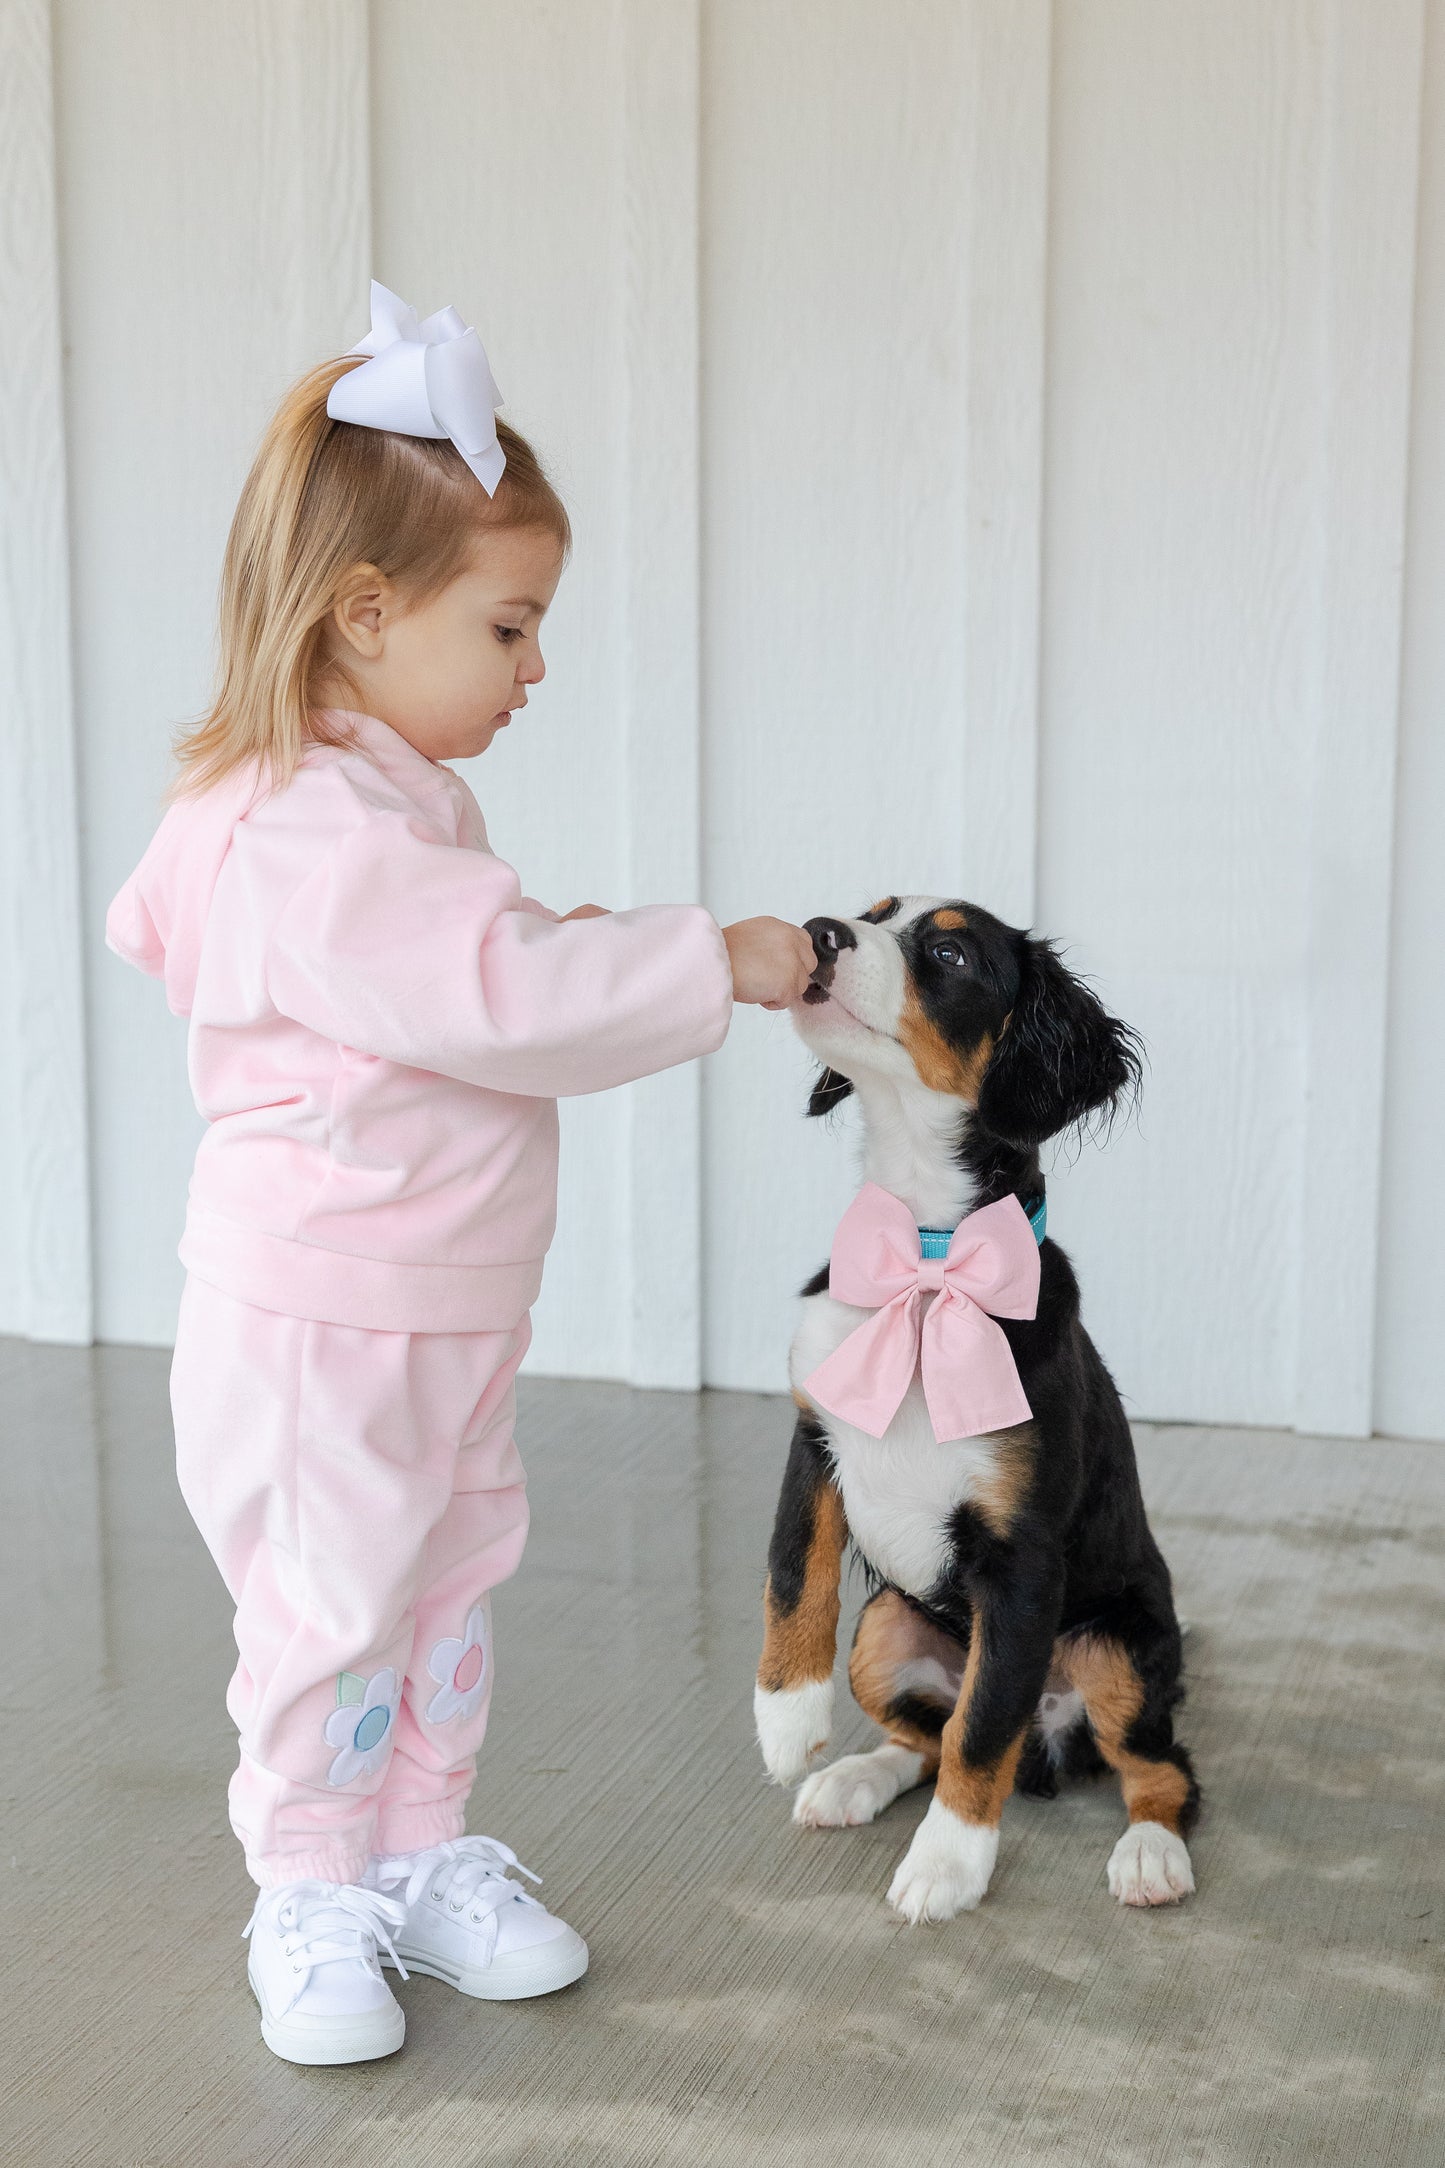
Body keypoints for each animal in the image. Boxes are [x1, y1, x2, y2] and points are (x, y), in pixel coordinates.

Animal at [758, 893, 1195, 1916]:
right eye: (872, 911)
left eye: (949, 954)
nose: (821, 929)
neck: (927, 1259)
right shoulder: (814, 1440)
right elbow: (794, 1577)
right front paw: (785, 1721)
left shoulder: (1021, 1556)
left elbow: (982, 1727)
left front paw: (947, 1866)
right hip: (884, 1631)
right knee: (918, 1735)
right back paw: (852, 1777)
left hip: (1116, 1651)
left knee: (1159, 1769)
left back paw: (1150, 1856)